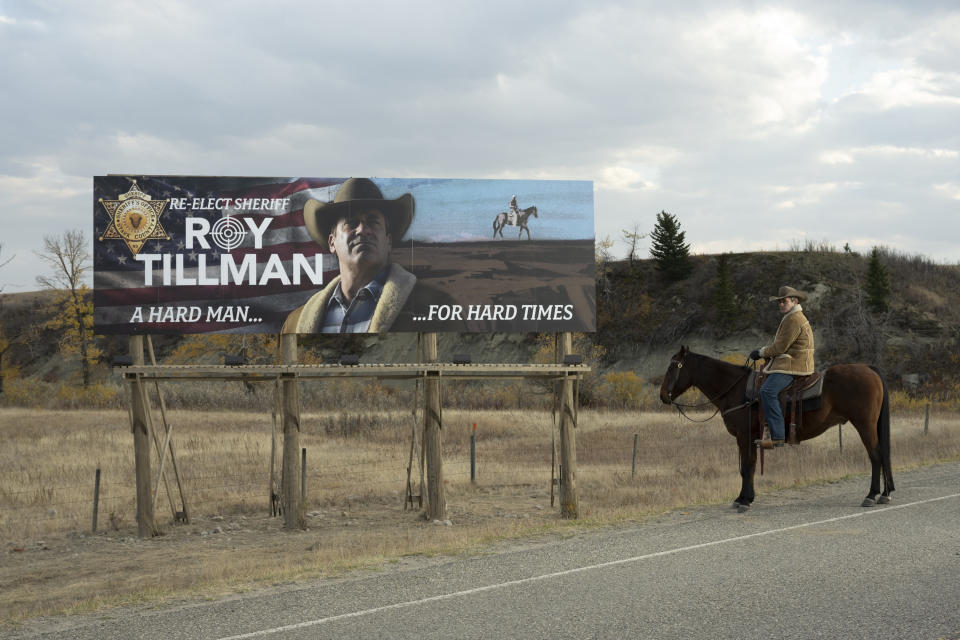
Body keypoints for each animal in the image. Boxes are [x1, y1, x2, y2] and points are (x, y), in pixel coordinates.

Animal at [660, 348, 892, 512]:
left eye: (672, 367)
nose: (662, 396)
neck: (736, 390)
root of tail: (868, 368)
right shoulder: (749, 439)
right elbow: (749, 467)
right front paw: (745, 497)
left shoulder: (745, 437)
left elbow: (747, 467)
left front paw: (744, 501)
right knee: (882, 455)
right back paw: (885, 494)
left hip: (864, 424)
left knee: (876, 455)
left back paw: (872, 495)